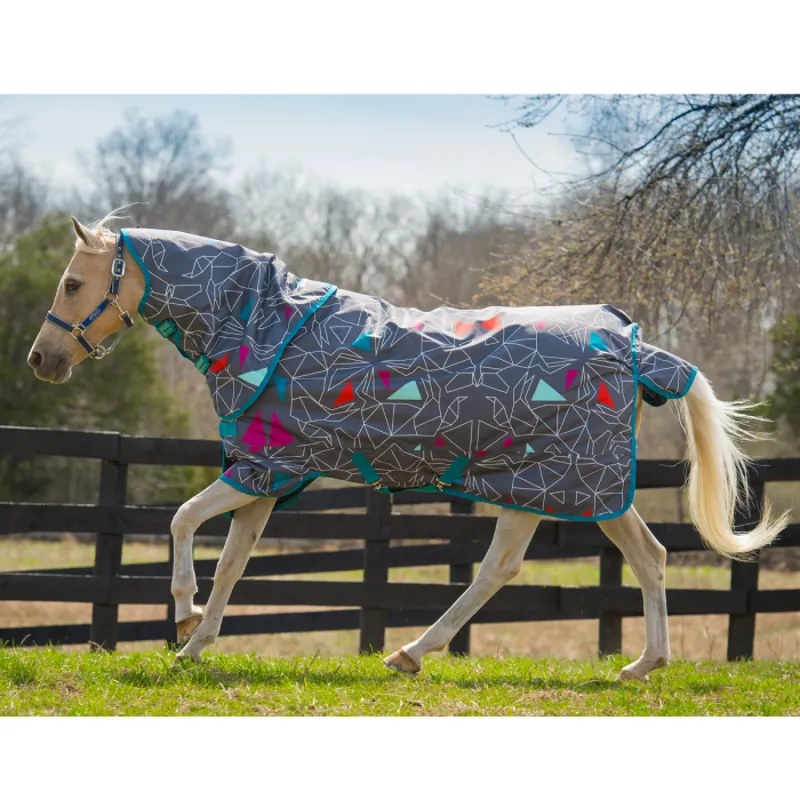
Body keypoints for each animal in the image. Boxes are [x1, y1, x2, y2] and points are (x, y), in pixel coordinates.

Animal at [27, 215, 789, 680]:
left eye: (71, 283)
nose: (41, 360)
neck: (262, 325)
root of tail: (628, 344)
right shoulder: (268, 477)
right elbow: (233, 565)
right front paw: (196, 644)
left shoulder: (263, 468)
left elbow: (182, 521)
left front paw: (182, 616)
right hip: (562, 487)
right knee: (639, 558)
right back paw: (638, 666)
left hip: (552, 483)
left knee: (505, 568)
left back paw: (412, 653)